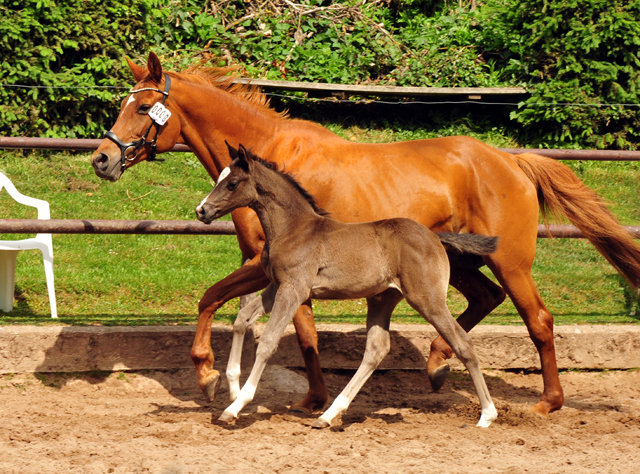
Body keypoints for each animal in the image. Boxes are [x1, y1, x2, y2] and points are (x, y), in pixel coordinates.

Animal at [91, 51, 640, 414]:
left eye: (142, 109)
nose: (102, 158)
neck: (273, 156)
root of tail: (514, 161)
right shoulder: (276, 269)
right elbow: (297, 328)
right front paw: (311, 397)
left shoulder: (267, 265)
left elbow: (216, 301)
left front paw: (208, 374)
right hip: (458, 261)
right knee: (482, 301)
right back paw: (437, 366)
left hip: (511, 262)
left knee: (539, 320)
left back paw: (548, 401)